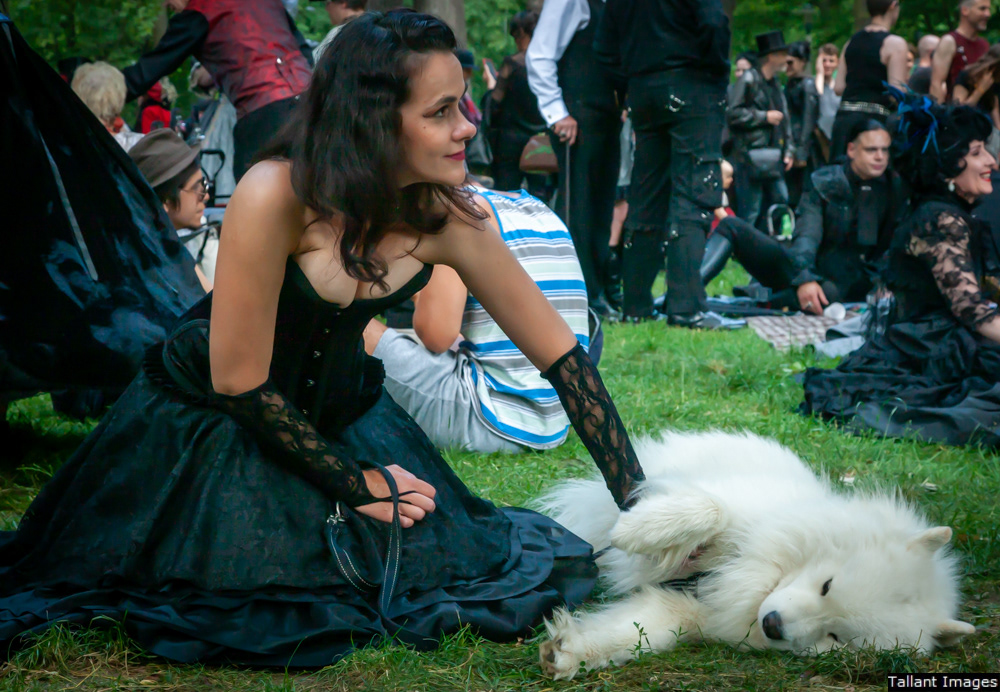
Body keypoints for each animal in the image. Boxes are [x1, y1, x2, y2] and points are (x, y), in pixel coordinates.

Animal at [536, 430, 975, 680]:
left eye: (836, 636)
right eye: (827, 585)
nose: (774, 625)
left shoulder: (691, 608)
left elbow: (639, 629)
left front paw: (570, 652)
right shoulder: (728, 512)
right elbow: (710, 509)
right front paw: (637, 530)